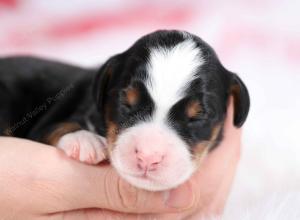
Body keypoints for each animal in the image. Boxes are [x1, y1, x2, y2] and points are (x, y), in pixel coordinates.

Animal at [0, 29, 248, 191]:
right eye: (126, 103)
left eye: (198, 117)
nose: (148, 157)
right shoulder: (43, 126)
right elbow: (58, 126)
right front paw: (85, 140)